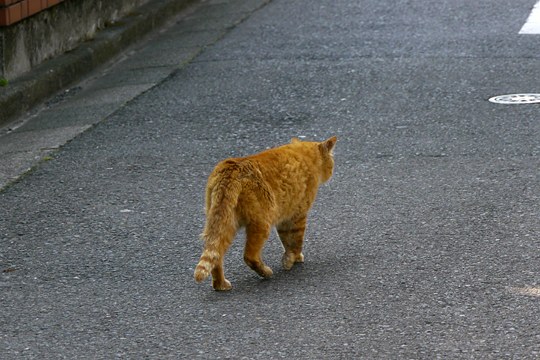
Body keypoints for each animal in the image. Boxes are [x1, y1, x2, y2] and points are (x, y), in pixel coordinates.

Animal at [194, 136, 338, 292]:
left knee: (217, 255)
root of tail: (232, 170)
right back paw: (265, 272)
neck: (304, 155)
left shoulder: (284, 218)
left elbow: (286, 241)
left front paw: (289, 258)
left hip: (225, 224)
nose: (331, 172)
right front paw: (294, 258)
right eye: (331, 164)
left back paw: (220, 285)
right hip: (261, 223)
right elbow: (295, 241)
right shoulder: (297, 215)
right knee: (249, 256)